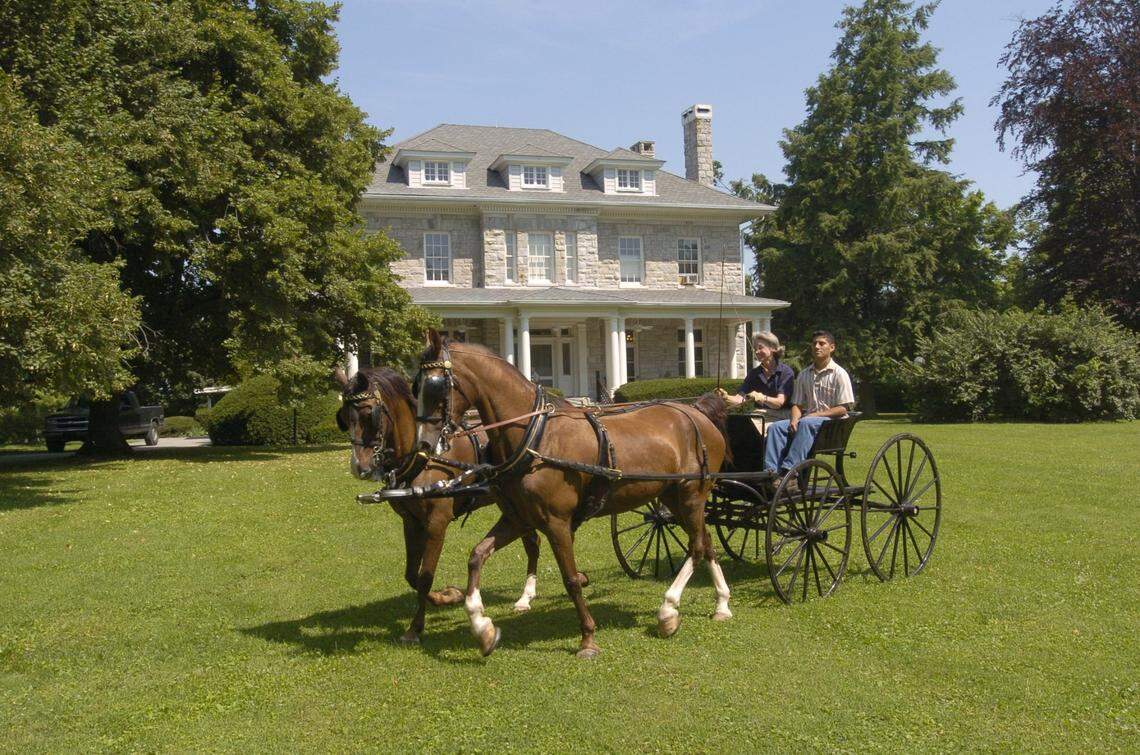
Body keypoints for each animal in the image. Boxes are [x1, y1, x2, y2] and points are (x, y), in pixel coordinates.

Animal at [334, 366, 547, 644]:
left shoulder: (437, 521)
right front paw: (448, 596)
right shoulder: (411, 522)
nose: (359, 466)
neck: (425, 457)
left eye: (370, 413)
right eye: (343, 417)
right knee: (532, 541)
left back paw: (526, 596)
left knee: (532, 542)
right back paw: (525, 596)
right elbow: (412, 575)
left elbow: (425, 576)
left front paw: (416, 626)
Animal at [413, 330, 734, 658]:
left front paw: (588, 638)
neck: (536, 435)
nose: (424, 445)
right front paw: (483, 628)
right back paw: (721, 604)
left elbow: (570, 579)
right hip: (673, 498)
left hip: (691, 495)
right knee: (706, 541)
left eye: (436, 386)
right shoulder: (518, 518)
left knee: (697, 547)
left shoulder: (557, 523)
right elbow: (476, 556)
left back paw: (668, 611)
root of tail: (696, 412)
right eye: (416, 385)